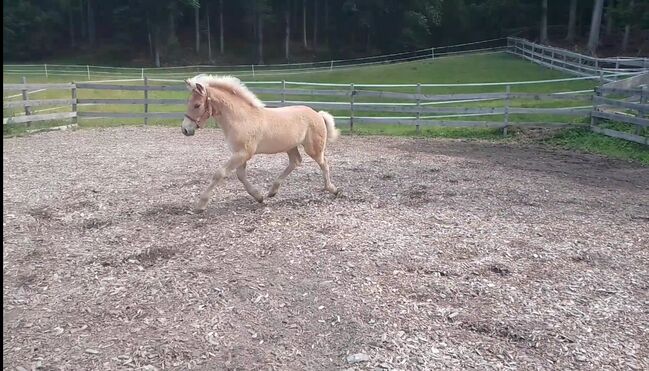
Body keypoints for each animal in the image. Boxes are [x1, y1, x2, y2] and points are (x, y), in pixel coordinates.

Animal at [178, 75, 340, 212]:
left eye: (197, 105)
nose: (185, 129)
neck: (241, 119)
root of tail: (318, 114)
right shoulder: (239, 154)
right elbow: (241, 176)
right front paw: (259, 197)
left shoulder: (243, 153)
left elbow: (220, 173)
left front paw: (201, 205)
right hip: (290, 146)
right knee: (296, 161)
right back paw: (272, 191)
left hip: (313, 148)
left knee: (324, 163)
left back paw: (332, 189)